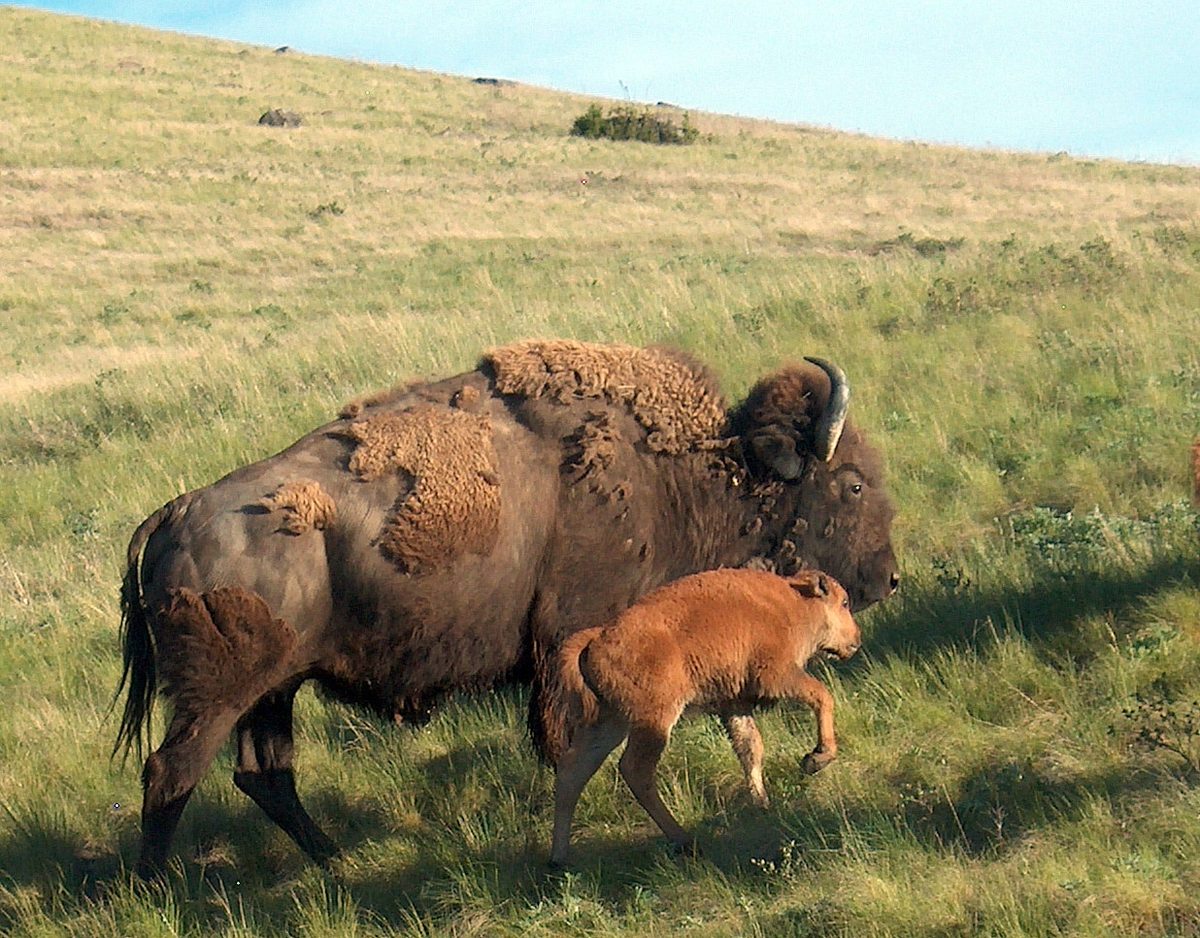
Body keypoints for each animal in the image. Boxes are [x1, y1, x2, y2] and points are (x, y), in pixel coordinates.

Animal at [549, 568, 861, 865]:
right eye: (844, 602)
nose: (856, 640)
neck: (794, 601)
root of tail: (596, 639)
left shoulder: (734, 705)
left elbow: (750, 748)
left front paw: (762, 804)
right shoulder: (777, 676)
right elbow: (822, 696)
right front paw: (816, 758)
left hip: (610, 722)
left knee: (573, 771)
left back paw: (559, 859)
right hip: (654, 719)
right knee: (635, 770)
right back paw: (685, 841)